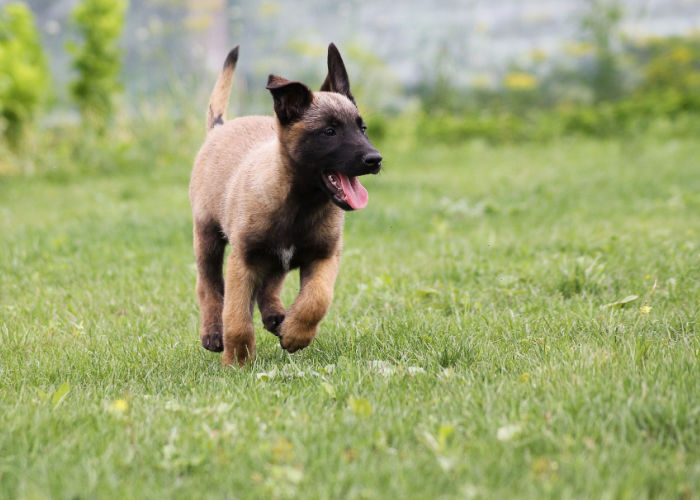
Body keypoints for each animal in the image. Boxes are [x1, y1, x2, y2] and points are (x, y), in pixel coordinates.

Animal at [189, 43, 382, 366]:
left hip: (272, 258)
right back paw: (213, 333)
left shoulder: (325, 256)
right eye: (329, 132)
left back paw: (277, 317)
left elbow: (316, 299)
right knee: (209, 285)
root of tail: (220, 127)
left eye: (363, 128)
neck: (300, 203)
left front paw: (295, 333)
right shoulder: (243, 261)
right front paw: (237, 361)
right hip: (207, 237)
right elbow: (237, 316)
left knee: (270, 284)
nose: (375, 160)